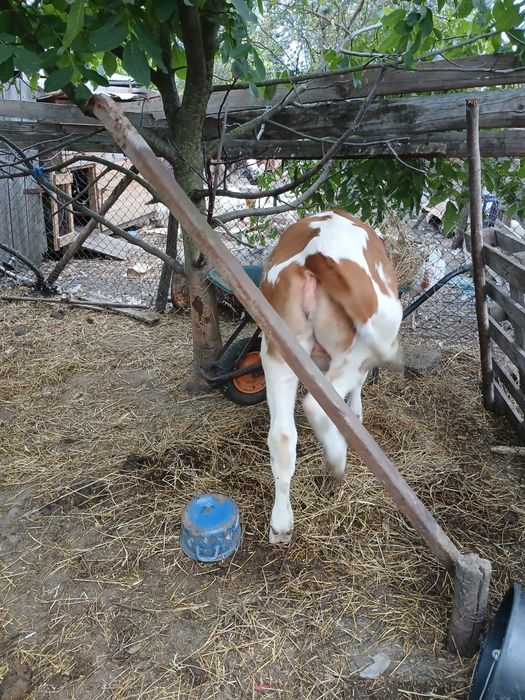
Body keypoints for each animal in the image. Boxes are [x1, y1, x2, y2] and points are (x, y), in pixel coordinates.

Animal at [260, 210, 403, 544]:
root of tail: (315, 254)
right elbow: (357, 391)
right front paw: (356, 415)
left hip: (279, 351)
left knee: (282, 437)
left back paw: (281, 525)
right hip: (355, 352)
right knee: (318, 406)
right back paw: (337, 460)